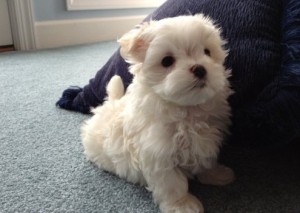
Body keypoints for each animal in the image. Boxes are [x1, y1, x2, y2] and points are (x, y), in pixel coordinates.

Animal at [81, 14, 234, 212]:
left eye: (207, 52)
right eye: (167, 61)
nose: (200, 68)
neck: (187, 111)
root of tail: (110, 103)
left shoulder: (207, 138)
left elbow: (206, 160)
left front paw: (216, 174)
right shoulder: (159, 155)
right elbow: (172, 184)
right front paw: (182, 204)